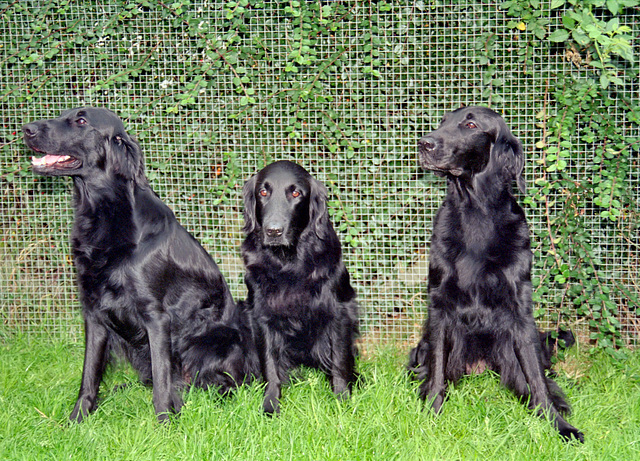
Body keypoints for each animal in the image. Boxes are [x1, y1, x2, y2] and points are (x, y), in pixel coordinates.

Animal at [22, 107, 258, 420]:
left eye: (81, 121)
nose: (26, 128)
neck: (104, 215)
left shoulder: (155, 317)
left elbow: (161, 382)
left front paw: (165, 422)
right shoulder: (94, 314)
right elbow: (89, 375)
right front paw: (78, 419)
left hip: (216, 339)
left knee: (225, 384)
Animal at [241, 161, 360, 414]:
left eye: (296, 194)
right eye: (263, 192)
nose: (273, 231)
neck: (288, 261)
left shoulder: (339, 312)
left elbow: (339, 360)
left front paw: (342, 400)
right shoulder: (261, 315)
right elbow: (270, 366)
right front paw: (270, 405)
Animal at [408, 106, 584, 440]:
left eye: (470, 124)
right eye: (443, 122)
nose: (424, 143)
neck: (476, 212)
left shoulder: (520, 312)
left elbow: (537, 380)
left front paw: (558, 424)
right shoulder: (438, 308)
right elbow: (436, 373)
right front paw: (430, 416)